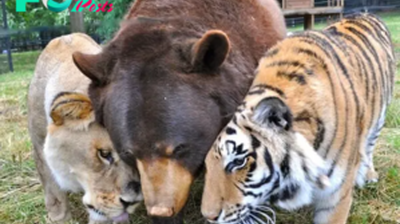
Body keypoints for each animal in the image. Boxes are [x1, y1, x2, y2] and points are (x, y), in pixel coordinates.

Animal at [202, 13, 396, 224]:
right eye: (207, 166)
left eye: (239, 162)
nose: (208, 216)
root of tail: (365, 13)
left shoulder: (336, 196)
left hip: (379, 118)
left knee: (369, 146)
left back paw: (368, 174)